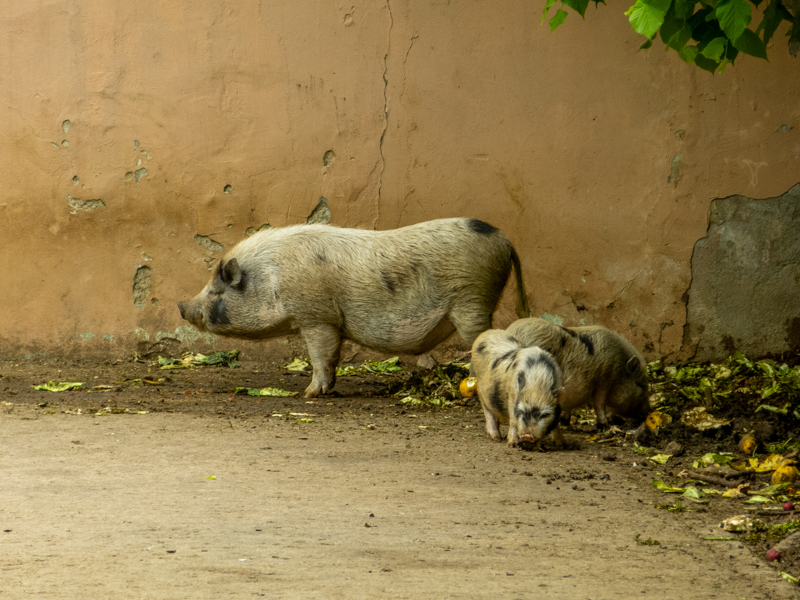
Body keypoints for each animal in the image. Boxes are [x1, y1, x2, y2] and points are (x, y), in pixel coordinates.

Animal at [178, 218, 530, 398]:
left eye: (217, 288)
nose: (181, 305)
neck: (271, 276)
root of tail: (506, 241)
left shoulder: (317, 316)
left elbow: (321, 355)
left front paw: (308, 394)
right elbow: (331, 357)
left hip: (472, 300)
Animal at [504, 318, 650, 428]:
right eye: (641, 385)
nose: (649, 410)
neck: (619, 370)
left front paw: (565, 422)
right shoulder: (604, 380)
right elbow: (599, 403)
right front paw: (604, 426)